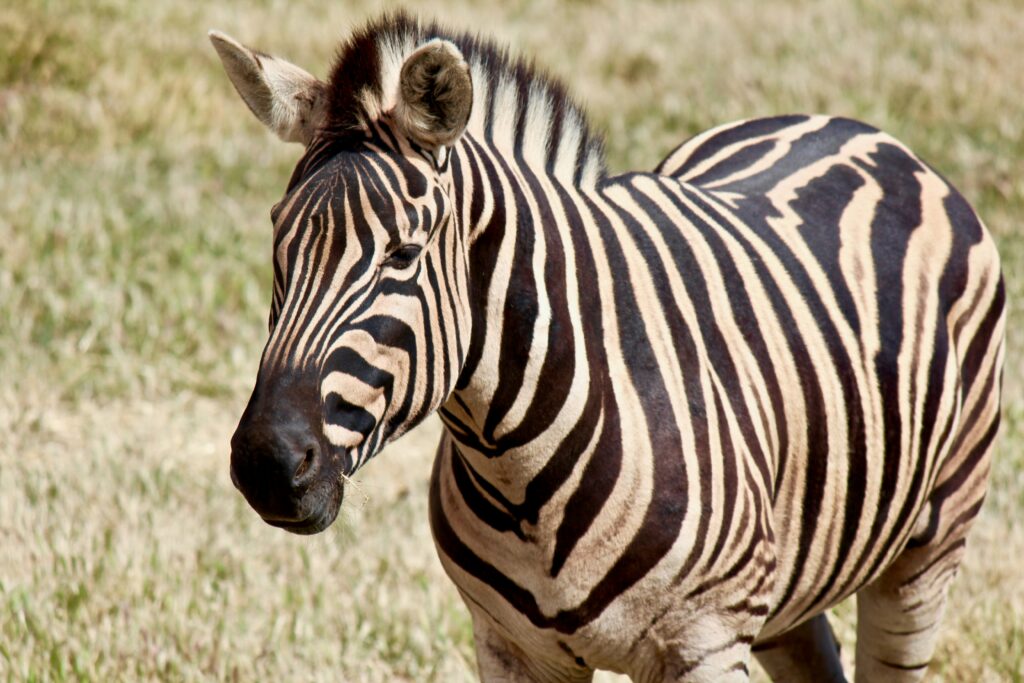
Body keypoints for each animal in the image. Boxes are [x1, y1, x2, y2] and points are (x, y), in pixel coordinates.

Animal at [211, 12, 1003, 683]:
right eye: (278, 246)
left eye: (402, 255)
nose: (266, 464)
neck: (520, 471)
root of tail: (854, 127)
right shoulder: (513, 650)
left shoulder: (705, 645)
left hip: (927, 549)